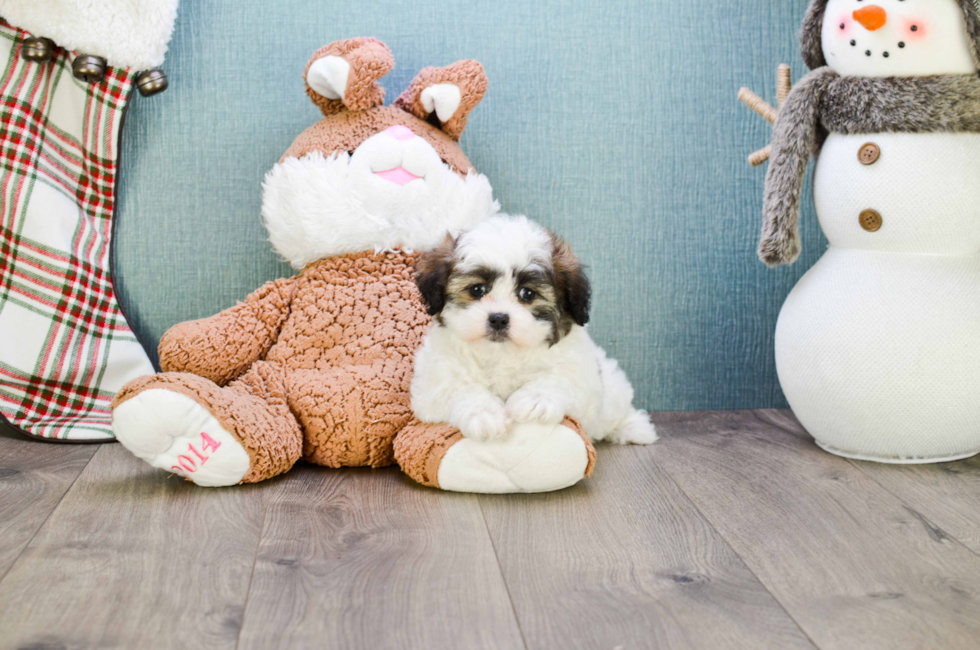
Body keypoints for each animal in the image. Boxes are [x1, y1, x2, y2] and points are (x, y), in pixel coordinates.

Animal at [410, 215, 656, 442]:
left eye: (527, 293)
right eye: (477, 289)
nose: (498, 319)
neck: (502, 355)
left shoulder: (582, 379)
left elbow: (559, 379)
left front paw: (535, 400)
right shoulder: (433, 383)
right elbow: (459, 389)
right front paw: (484, 414)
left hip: (611, 388)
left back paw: (635, 427)